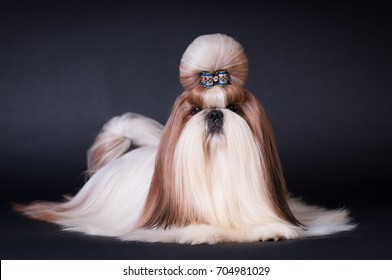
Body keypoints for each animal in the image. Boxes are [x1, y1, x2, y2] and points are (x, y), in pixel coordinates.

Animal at [15, 33, 354, 243]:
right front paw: (201, 232)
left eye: (234, 108)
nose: (214, 114)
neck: (218, 167)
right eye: (195, 110)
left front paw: (271, 228)